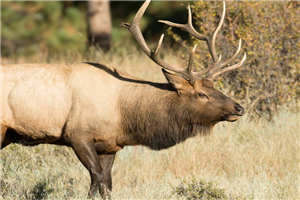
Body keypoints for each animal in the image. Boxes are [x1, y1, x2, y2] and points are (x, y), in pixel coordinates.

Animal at [0, 0, 246, 198]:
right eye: (201, 94)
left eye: (214, 87)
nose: (239, 108)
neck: (125, 114)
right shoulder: (77, 134)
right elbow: (97, 178)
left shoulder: (110, 145)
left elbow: (105, 184)